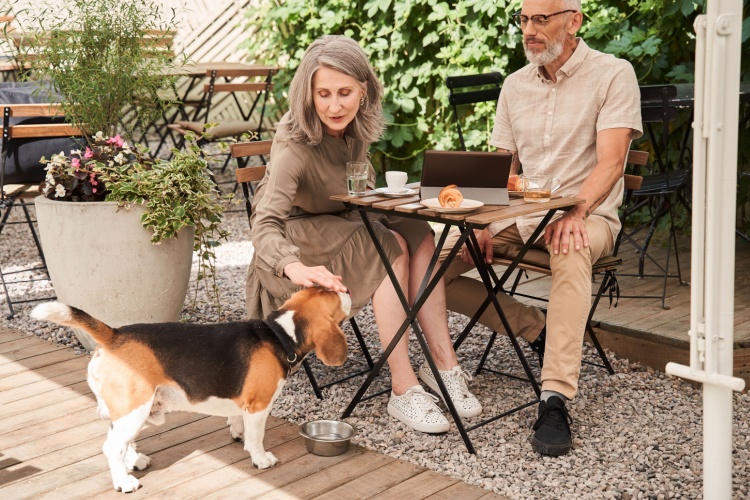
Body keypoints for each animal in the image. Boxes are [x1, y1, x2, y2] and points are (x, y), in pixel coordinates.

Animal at [30, 286, 354, 492]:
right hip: (135, 407)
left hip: (133, 410)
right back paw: (124, 482)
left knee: (121, 442)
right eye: (334, 297)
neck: (279, 334)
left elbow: (236, 420)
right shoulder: (259, 406)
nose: (346, 289)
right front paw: (261, 458)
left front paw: (236, 433)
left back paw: (134, 461)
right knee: (112, 446)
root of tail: (114, 335)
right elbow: (257, 438)